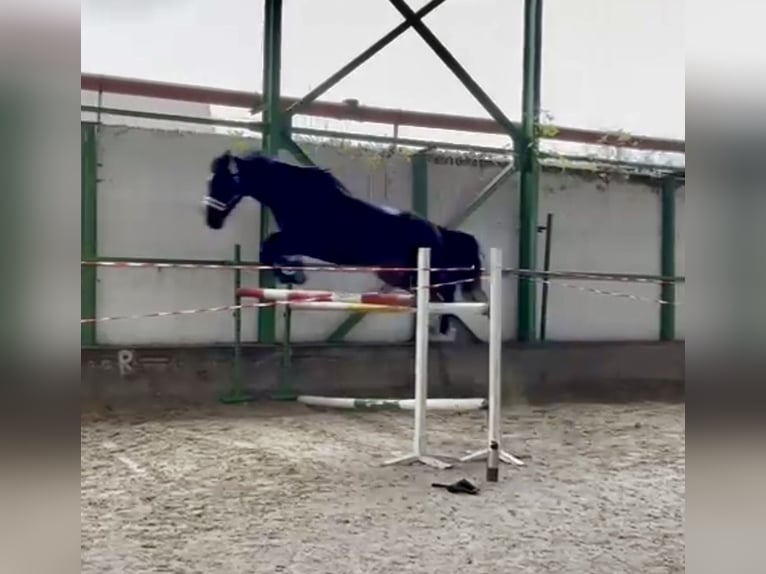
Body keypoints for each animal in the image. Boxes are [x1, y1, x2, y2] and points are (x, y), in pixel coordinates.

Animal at [202, 150, 488, 334]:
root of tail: (438, 231)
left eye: (225, 182)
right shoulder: (296, 241)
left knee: (445, 293)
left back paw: (444, 324)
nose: (212, 221)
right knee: (436, 295)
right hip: (397, 275)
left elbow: (269, 248)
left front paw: (295, 275)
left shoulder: (301, 240)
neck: (296, 196)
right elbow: (269, 251)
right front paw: (293, 274)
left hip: (422, 272)